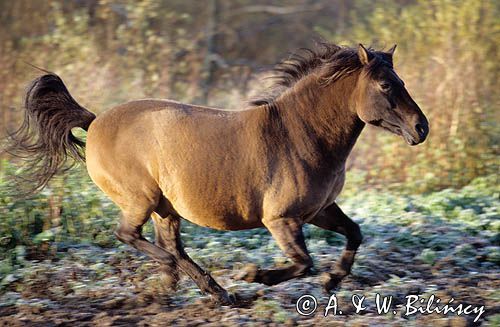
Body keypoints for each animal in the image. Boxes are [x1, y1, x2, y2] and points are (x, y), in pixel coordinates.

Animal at [6, 43, 430, 304]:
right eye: (385, 84)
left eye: (402, 81)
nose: (421, 128)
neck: (300, 135)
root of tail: (94, 122)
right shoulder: (282, 219)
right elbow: (301, 263)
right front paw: (252, 275)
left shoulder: (320, 211)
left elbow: (354, 234)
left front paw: (332, 281)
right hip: (141, 200)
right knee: (131, 236)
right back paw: (190, 278)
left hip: (166, 208)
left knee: (171, 246)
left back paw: (206, 290)